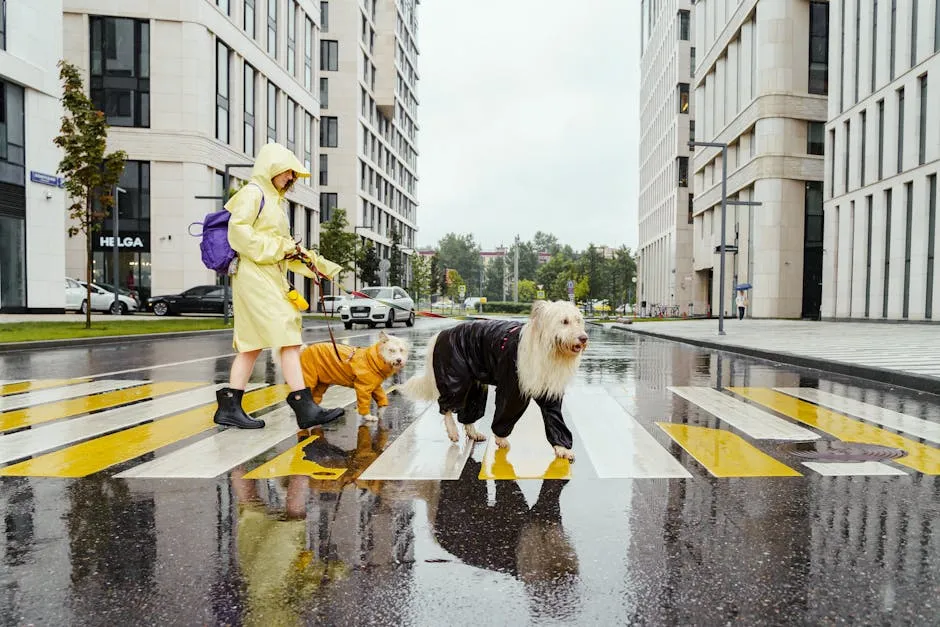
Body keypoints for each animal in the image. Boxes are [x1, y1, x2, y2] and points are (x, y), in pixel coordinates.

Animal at [402, 300, 588, 462]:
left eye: (578, 321)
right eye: (564, 321)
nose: (584, 338)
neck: (548, 350)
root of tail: (442, 334)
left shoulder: (549, 392)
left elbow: (555, 419)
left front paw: (562, 448)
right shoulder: (512, 390)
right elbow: (506, 412)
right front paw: (500, 438)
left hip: (474, 386)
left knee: (468, 411)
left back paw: (473, 432)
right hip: (454, 380)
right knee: (446, 406)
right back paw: (453, 431)